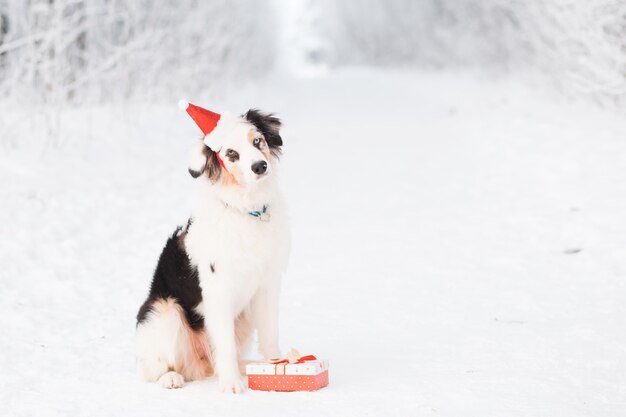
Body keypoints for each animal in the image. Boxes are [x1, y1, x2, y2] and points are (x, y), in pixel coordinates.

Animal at [135, 109, 288, 392]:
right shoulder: (218, 291)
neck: (246, 210)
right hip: (163, 310)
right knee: (151, 368)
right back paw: (170, 378)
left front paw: (277, 368)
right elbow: (225, 346)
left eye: (257, 141)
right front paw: (231, 385)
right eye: (231, 154)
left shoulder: (267, 285)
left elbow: (270, 334)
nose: (260, 166)